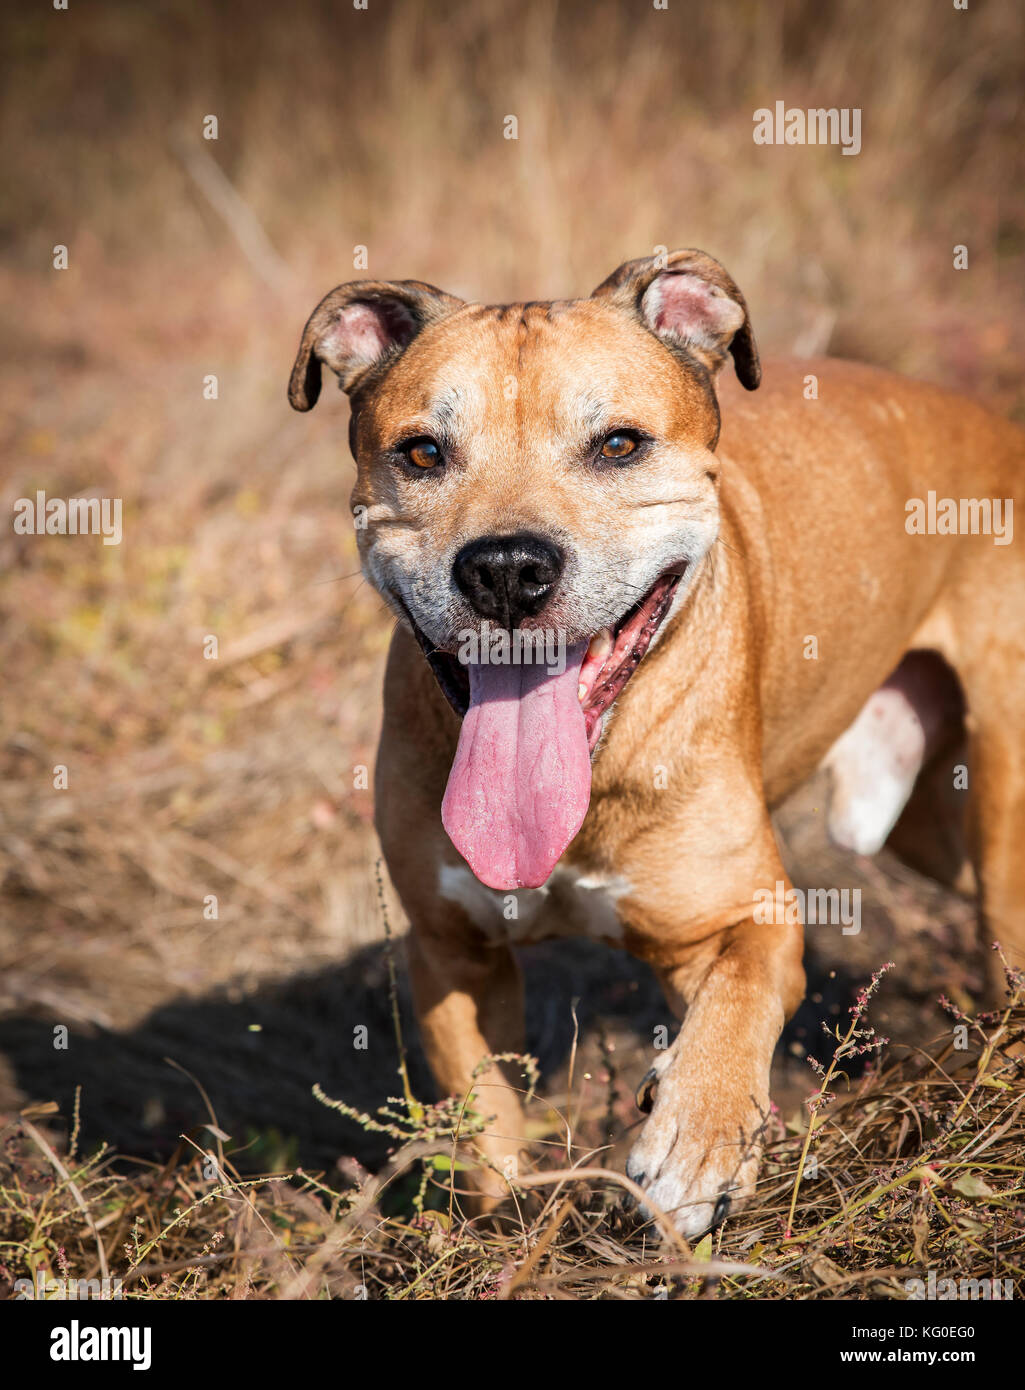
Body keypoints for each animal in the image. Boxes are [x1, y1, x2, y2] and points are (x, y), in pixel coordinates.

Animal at [286, 252, 1023, 1239]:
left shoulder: (745, 917)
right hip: (929, 828)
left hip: (999, 816)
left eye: (618, 445)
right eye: (421, 453)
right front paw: (506, 1225)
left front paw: (694, 1141)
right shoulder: (453, 954)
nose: (506, 569)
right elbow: (483, 1124)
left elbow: (735, 1005)